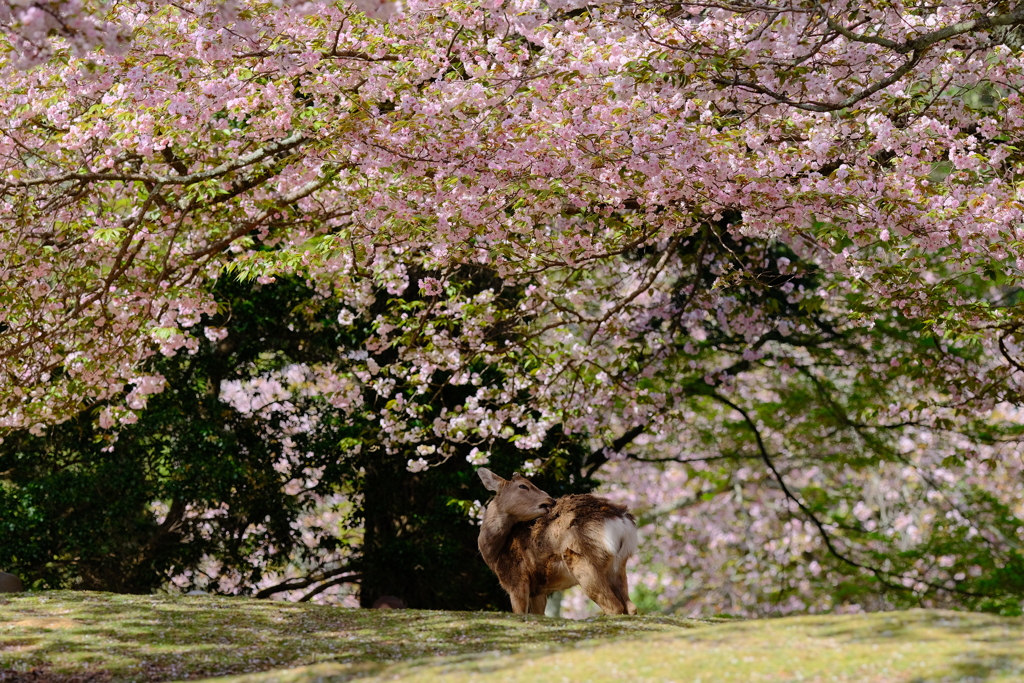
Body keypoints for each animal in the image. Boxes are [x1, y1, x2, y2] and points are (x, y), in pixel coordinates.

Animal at [475, 466, 634, 618]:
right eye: (522, 486)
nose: (550, 500)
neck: (496, 554)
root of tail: (618, 519)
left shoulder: (516, 581)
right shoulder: (538, 591)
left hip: (582, 561)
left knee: (614, 606)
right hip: (619, 564)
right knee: (630, 607)